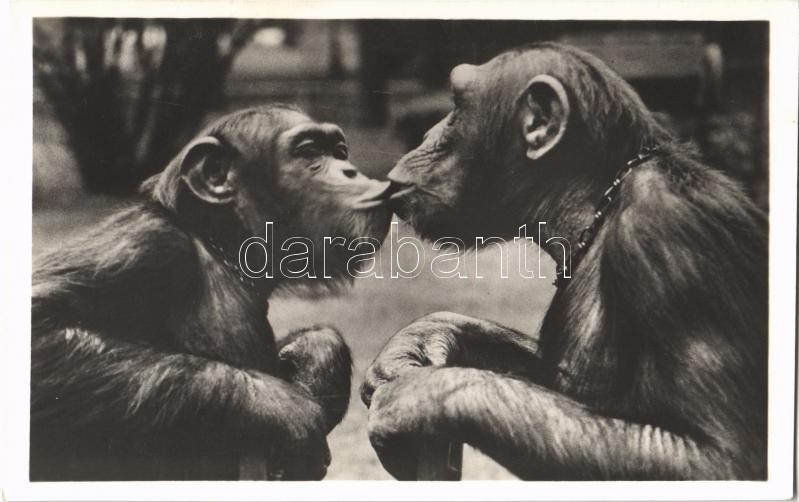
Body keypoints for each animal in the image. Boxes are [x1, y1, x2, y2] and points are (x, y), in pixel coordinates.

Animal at [31, 104, 394, 480]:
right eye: (309, 152)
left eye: (339, 152)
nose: (350, 170)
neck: (218, 247)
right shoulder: (147, 246)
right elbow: (41, 323)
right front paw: (288, 408)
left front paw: (317, 352)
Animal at [364, 42, 768, 478]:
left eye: (455, 106)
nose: (425, 133)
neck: (599, 201)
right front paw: (419, 340)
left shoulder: (674, 239)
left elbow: (716, 457)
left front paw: (414, 398)